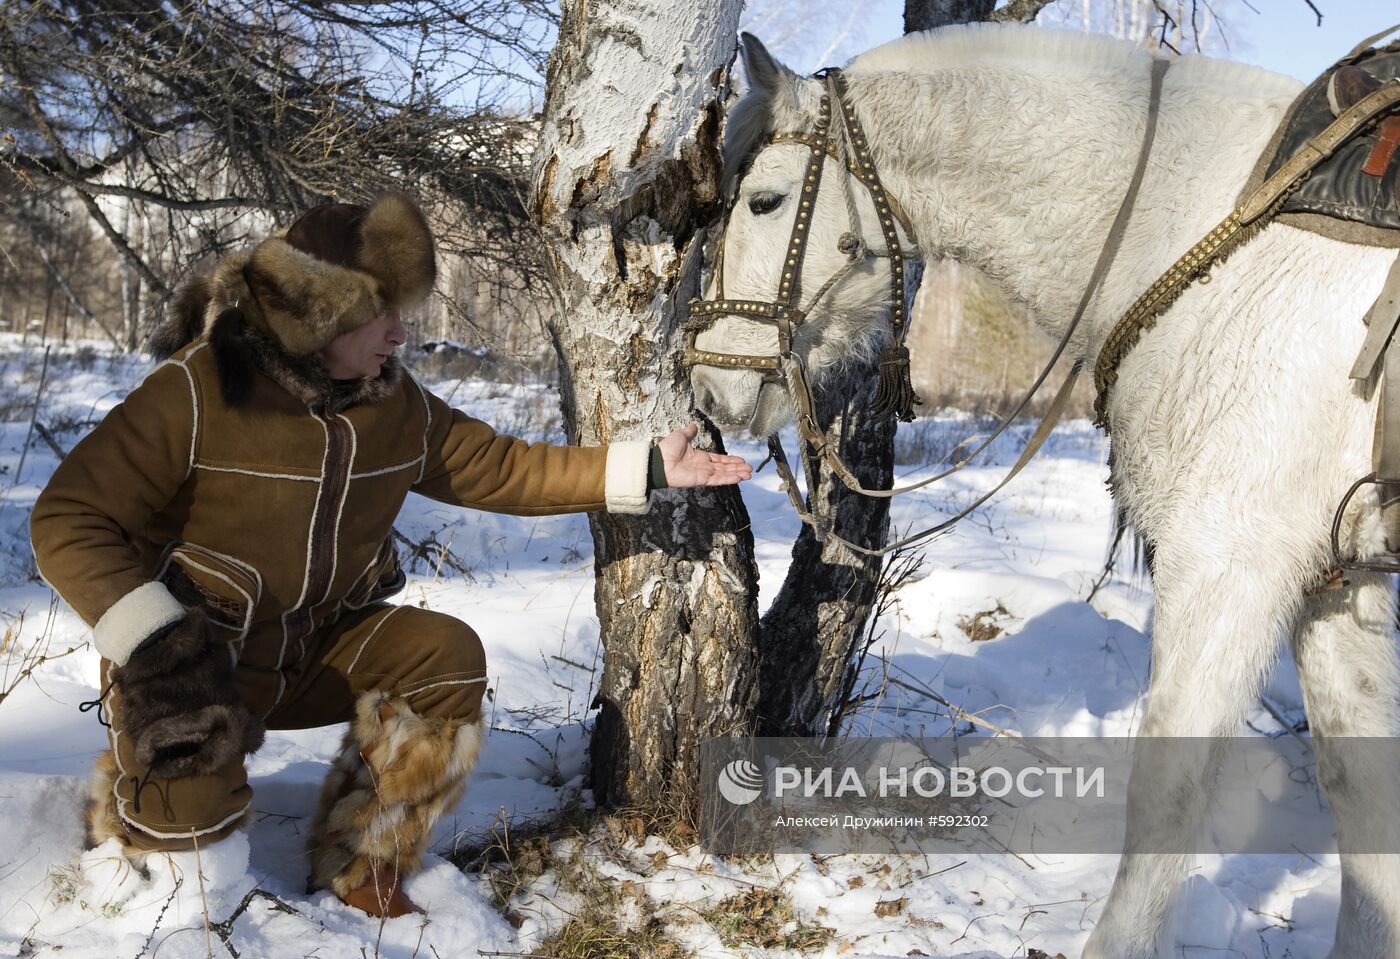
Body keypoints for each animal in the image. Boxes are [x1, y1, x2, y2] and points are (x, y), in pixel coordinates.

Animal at [694, 22, 1400, 957]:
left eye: (766, 202)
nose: (711, 388)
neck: (1202, 218)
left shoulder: (1231, 564)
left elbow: (1166, 794)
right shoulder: (1335, 577)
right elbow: (1363, 795)